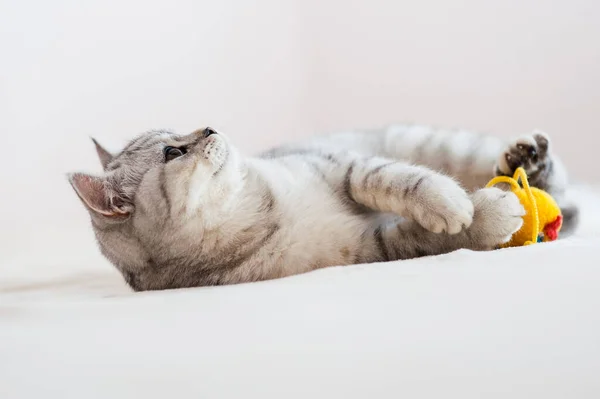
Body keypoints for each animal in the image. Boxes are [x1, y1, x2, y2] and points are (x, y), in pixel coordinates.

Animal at [68, 125, 580, 290]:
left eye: (180, 129)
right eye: (172, 152)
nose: (210, 127)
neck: (261, 206)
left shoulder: (342, 166)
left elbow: (396, 179)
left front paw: (448, 199)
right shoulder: (368, 248)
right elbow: (427, 236)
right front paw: (486, 214)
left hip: (438, 145)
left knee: (565, 189)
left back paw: (527, 161)